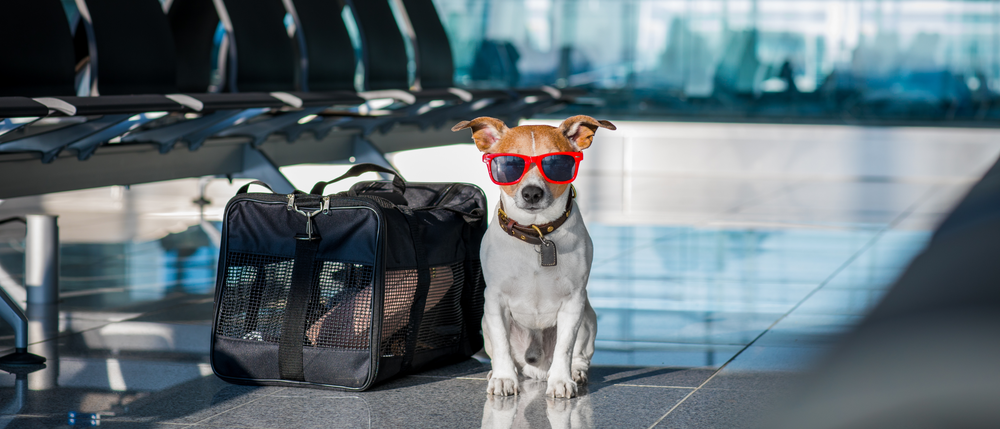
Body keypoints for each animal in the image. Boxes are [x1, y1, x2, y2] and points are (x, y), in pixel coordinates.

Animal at [454, 115, 616, 396]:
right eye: (509, 164)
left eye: (557, 163)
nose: (531, 193)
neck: (536, 233)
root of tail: (536, 370)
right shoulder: (495, 301)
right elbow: (502, 345)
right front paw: (504, 378)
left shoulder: (574, 302)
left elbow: (565, 348)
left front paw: (561, 380)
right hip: (486, 321)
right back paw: (498, 372)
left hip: (587, 317)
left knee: (579, 355)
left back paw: (575, 372)